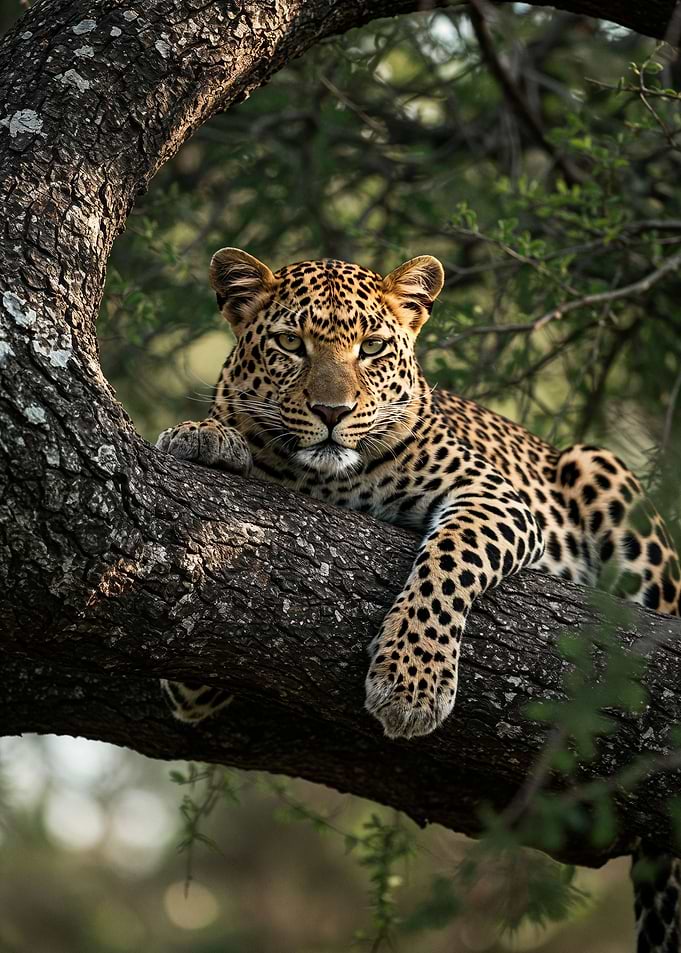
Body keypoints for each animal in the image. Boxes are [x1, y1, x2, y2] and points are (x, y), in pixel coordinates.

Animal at [156, 247, 681, 952]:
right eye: (291, 345)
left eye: (373, 347)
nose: (331, 411)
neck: (322, 482)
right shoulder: (198, 667)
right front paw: (209, 439)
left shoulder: (495, 498)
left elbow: (447, 563)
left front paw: (411, 683)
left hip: (601, 471)